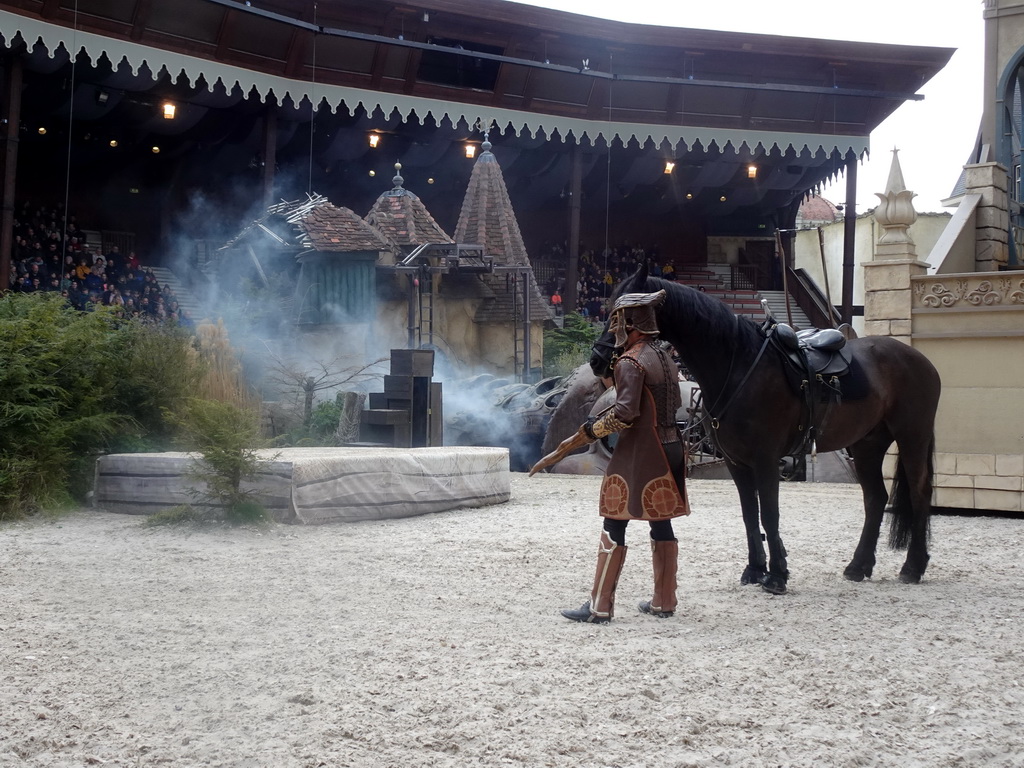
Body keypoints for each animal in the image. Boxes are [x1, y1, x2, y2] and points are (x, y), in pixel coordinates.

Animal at [593, 264, 942, 593]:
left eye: (622, 315)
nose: (597, 358)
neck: (739, 366)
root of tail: (919, 358)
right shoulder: (736, 462)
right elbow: (750, 514)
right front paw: (755, 570)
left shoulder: (766, 459)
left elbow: (769, 514)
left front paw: (776, 576)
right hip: (867, 444)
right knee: (875, 498)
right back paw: (859, 566)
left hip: (912, 437)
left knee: (920, 492)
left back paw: (913, 566)